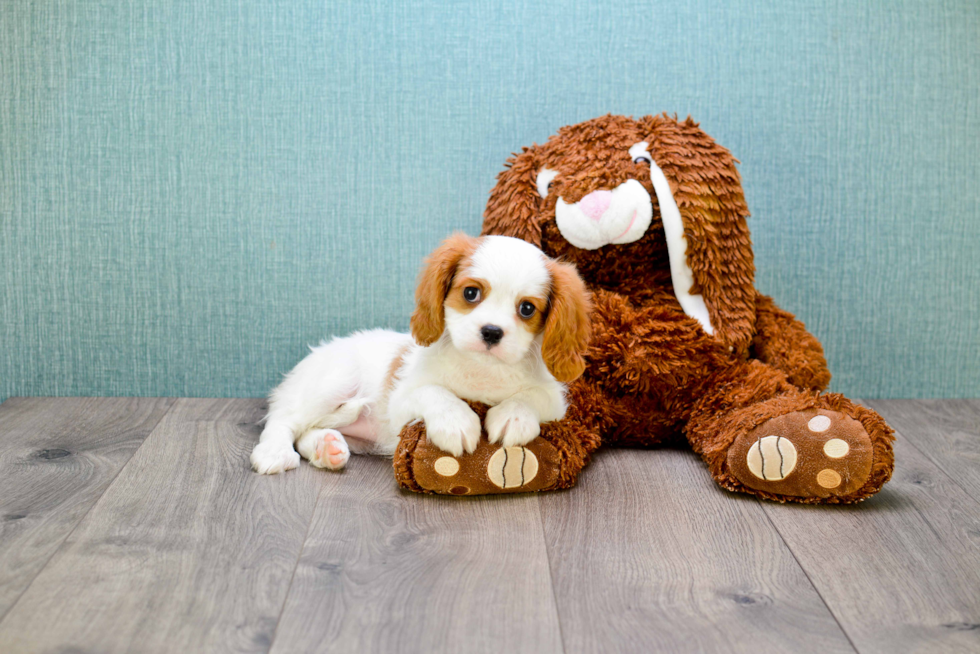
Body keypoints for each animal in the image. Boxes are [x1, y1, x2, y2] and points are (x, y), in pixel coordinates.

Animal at [251, 236, 588, 476]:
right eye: (471, 293)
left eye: (527, 309)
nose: (492, 332)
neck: (482, 369)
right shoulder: (400, 400)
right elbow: (433, 392)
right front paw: (455, 421)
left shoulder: (556, 403)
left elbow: (531, 397)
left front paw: (513, 416)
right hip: (333, 382)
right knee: (284, 420)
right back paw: (274, 452)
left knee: (306, 432)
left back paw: (327, 448)